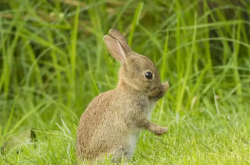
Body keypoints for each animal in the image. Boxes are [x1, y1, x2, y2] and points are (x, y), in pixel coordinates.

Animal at [77, 29, 169, 163]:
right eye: (148, 75)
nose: (158, 85)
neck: (131, 87)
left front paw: (165, 87)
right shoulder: (133, 114)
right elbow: (145, 123)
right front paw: (161, 130)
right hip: (119, 148)